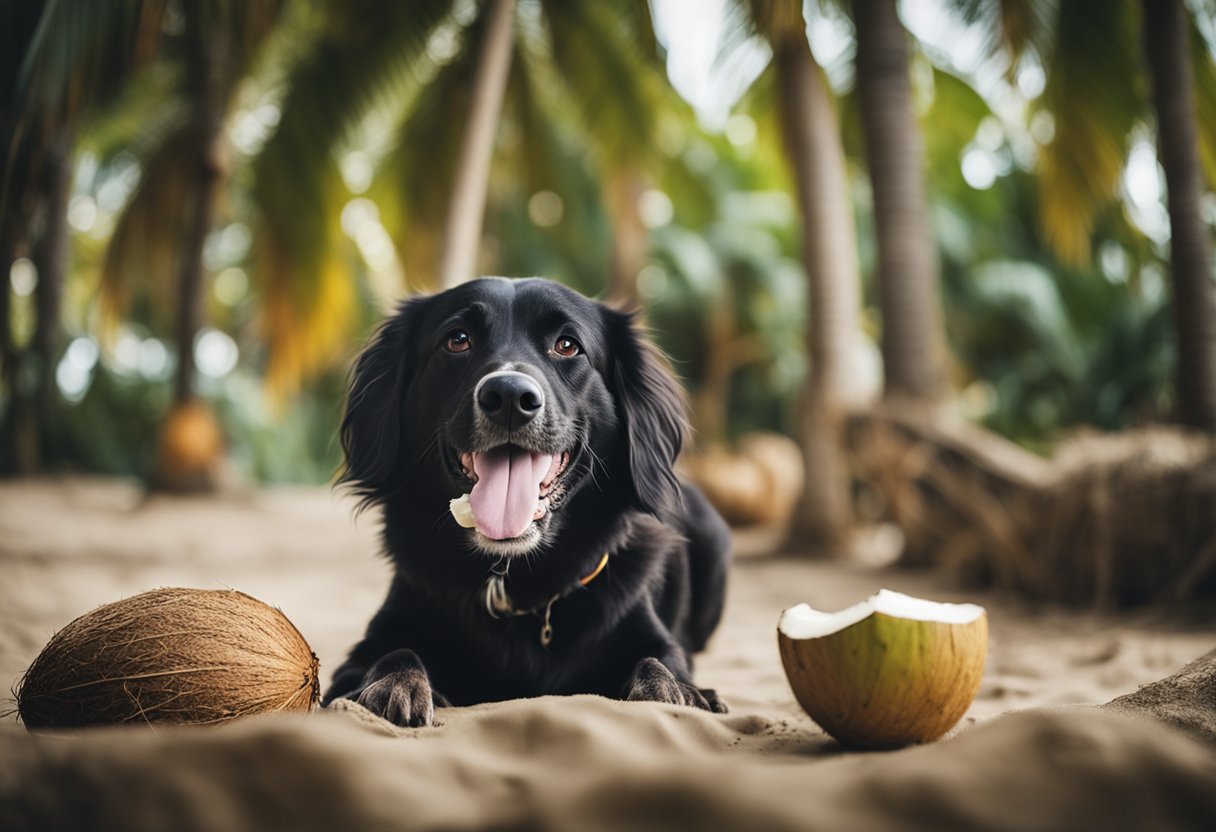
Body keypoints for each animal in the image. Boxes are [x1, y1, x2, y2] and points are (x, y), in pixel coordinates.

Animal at [323, 276, 729, 724]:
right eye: (457, 340)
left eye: (567, 345)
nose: (508, 397)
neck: (514, 587)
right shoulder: (365, 649)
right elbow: (395, 650)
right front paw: (394, 685)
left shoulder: (655, 639)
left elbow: (657, 664)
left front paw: (673, 692)